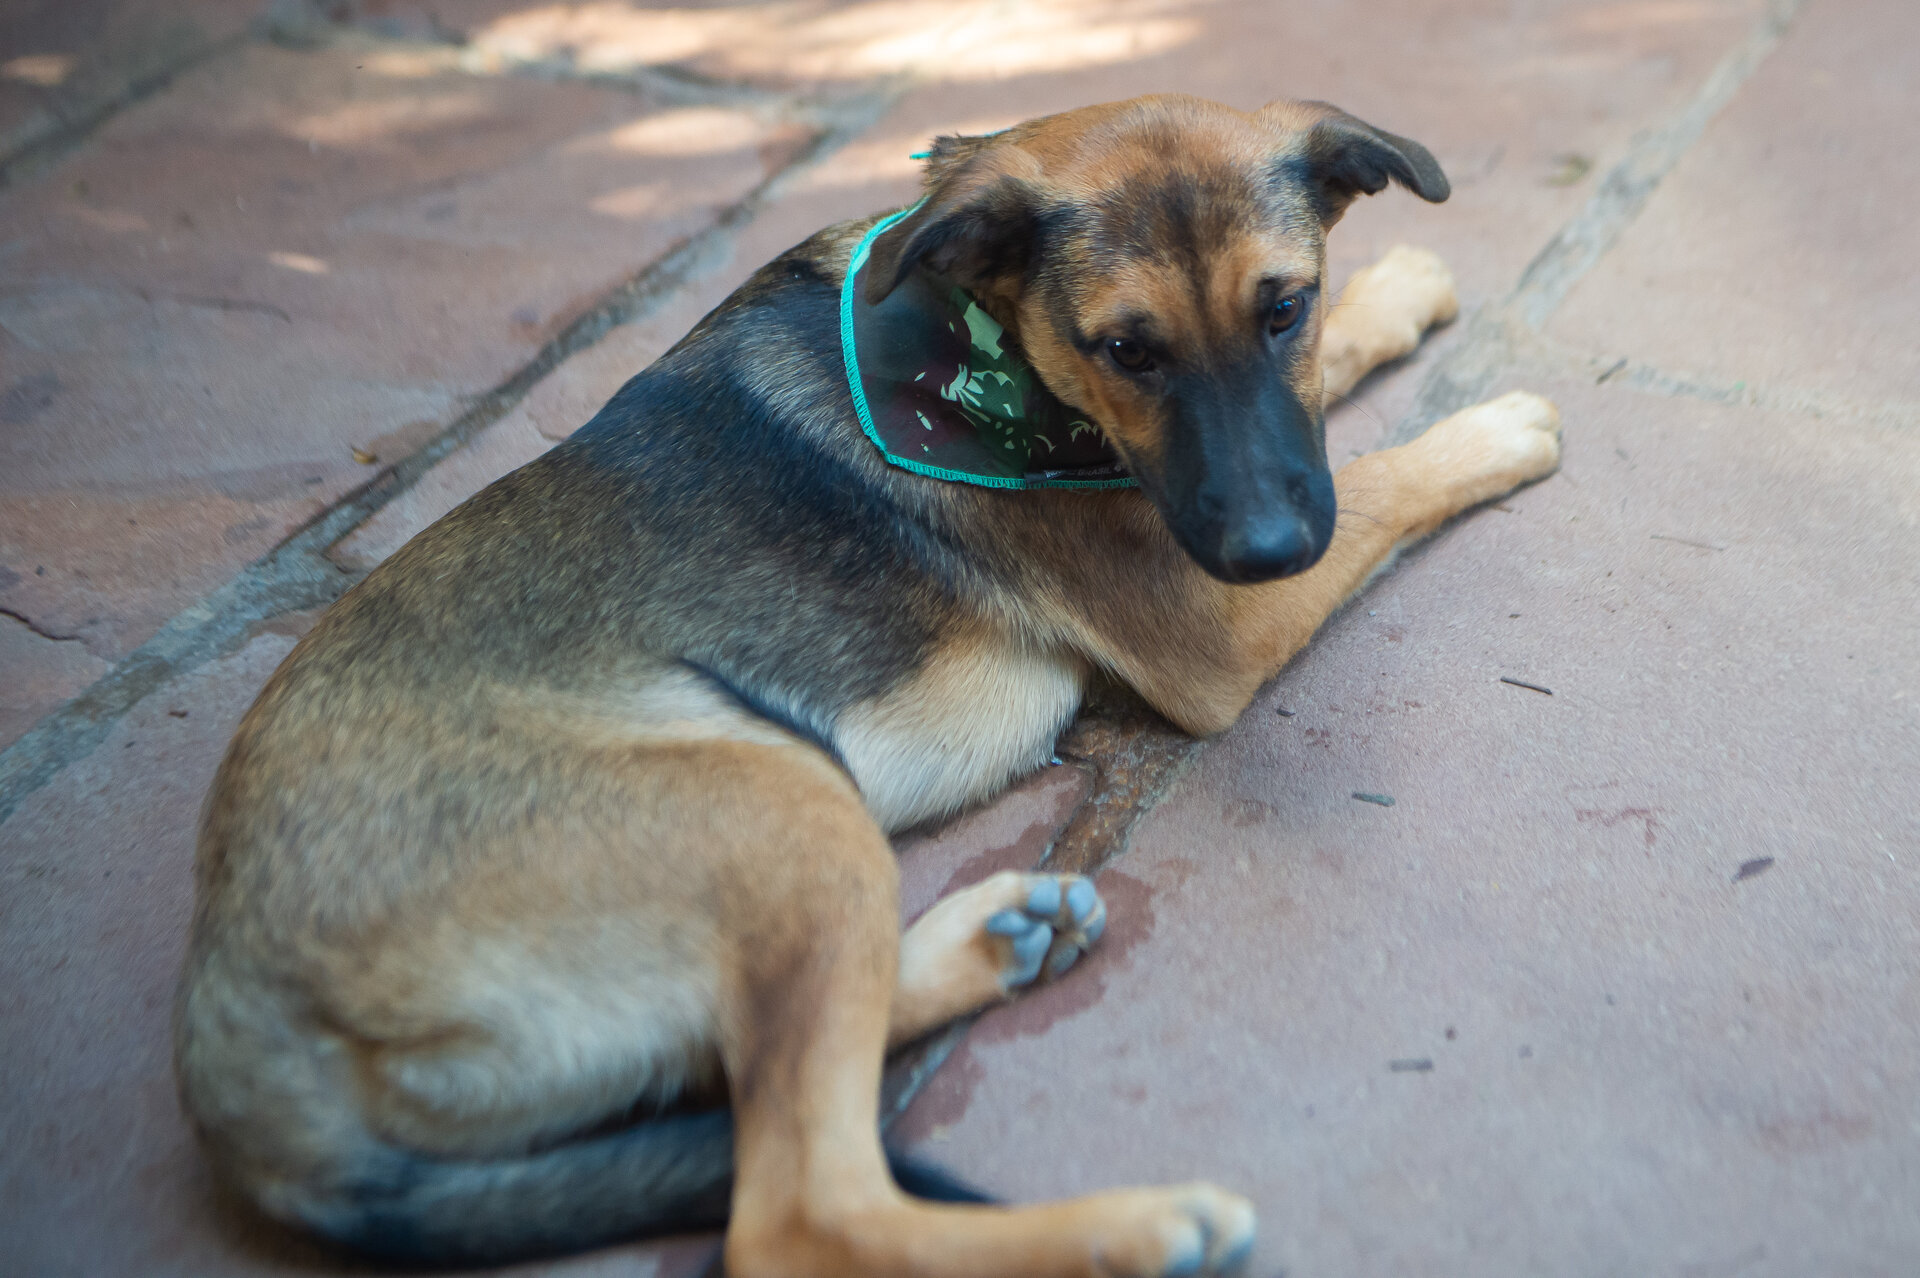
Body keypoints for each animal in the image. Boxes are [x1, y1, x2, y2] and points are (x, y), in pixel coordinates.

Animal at [175, 94, 1561, 1277]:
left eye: (1284, 308)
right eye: (1127, 350)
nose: (1273, 544)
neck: (985, 349)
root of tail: (231, 1022)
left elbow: (1334, 414)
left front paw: (1397, 292)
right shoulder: (1216, 626)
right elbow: (1382, 479)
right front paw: (1491, 430)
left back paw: (991, 943)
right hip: (776, 806)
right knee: (805, 1213)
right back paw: (1135, 1225)